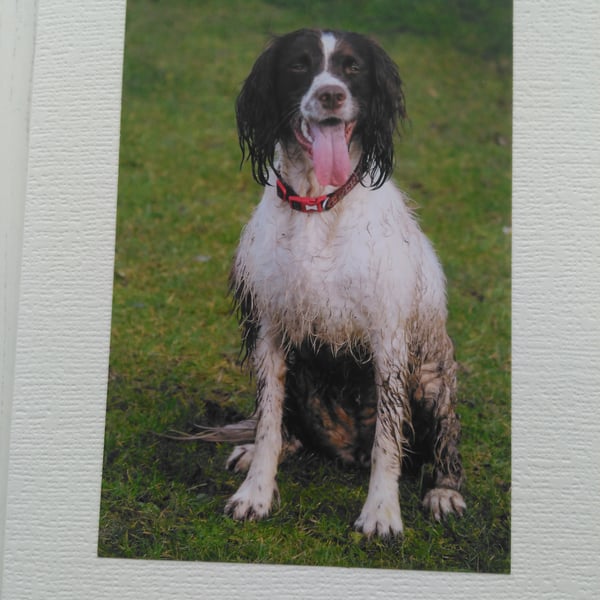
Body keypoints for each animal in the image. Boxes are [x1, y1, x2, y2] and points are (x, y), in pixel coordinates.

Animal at [212, 28, 468, 536]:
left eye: (352, 67)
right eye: (299, 64)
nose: (331, 94)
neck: (319, 204)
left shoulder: (389, 338)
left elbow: (389, 439)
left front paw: (381, 512)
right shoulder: (269, 331)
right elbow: (267, 423)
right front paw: (255, 493)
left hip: (432, 378)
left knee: (442, 440)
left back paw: (444, 491)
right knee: (285, 430)